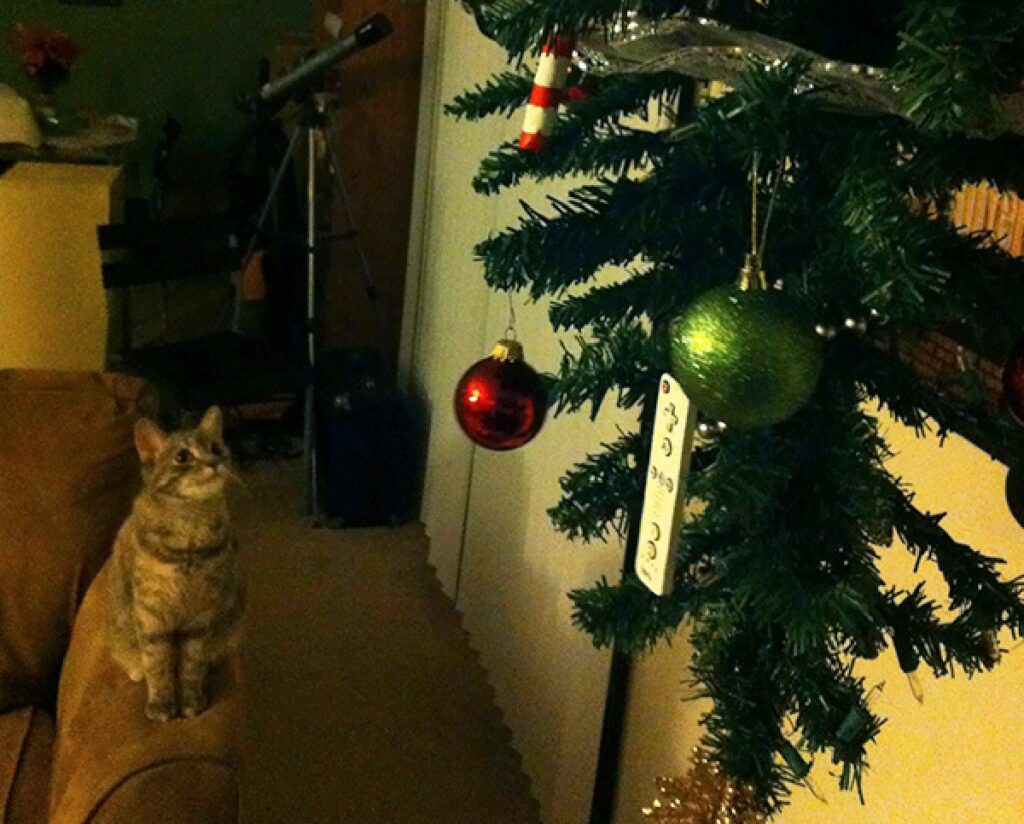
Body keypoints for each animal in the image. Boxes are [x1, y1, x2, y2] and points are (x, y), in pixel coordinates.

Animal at [107, 407, 244, 720]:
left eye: (215, 448)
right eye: (183, 456)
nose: (214, 463)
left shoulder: (200, 618)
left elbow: (191, 665)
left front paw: (191, 700)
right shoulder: (151, 616)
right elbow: (157, 665)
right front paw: (161, 704)